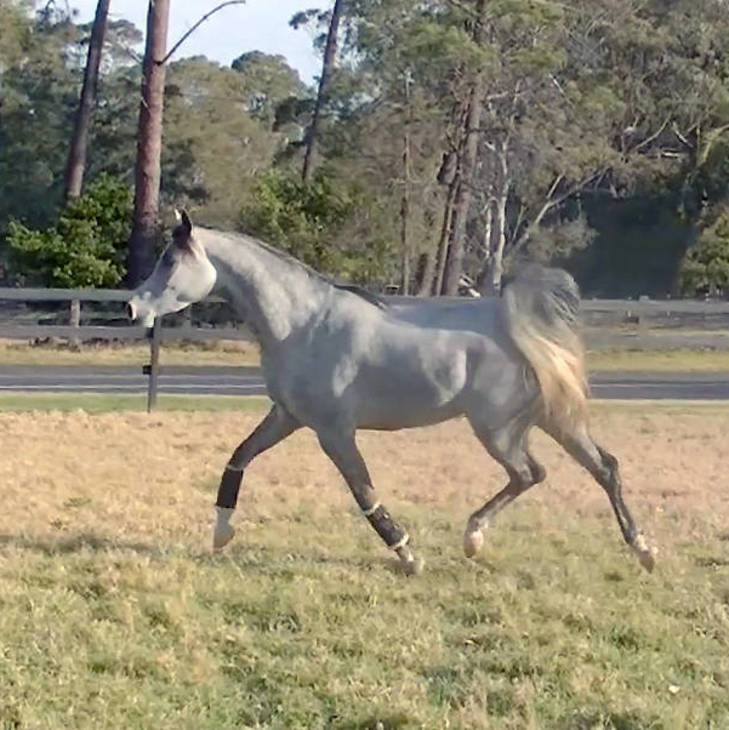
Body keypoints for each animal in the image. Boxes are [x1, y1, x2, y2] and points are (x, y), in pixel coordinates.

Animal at [127, 211, 655, 575]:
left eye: (170, 260)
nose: (133, 307)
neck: (304, 322)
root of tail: (516, 323)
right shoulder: (287, 416)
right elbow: (238, 457)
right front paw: (221, 532)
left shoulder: (333, 431)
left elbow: (364, 492)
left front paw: (407, 555)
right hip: (549, 419)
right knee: (600, 468)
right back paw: (642, 549)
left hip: (498, 430)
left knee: (533, 473)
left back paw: (475, 537)